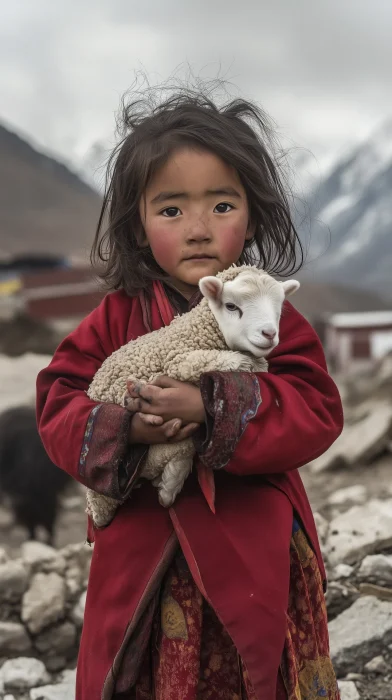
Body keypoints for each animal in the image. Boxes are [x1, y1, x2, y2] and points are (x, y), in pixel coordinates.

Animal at [86, 266, 300, 528]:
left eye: (279, 308)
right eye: (231, 306)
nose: (269, 333)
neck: (198, 331)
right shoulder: (181, 360)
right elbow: (224, 360)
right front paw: (247, 363)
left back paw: (168, 485)